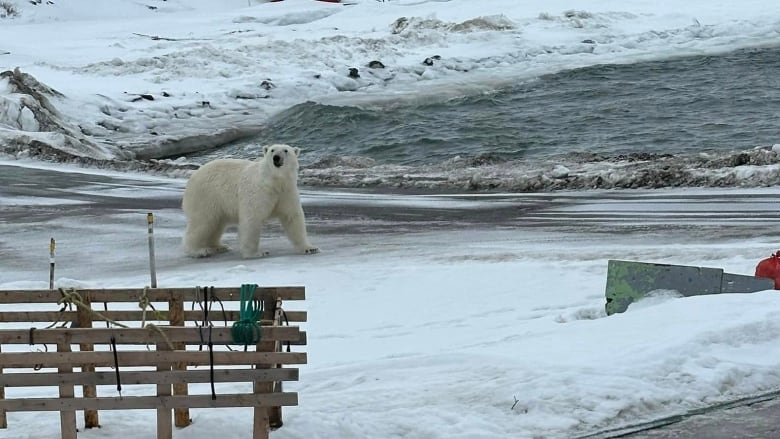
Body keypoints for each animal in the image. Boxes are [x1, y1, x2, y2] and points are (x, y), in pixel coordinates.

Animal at [181, 146, 318, 258]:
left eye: (286, 150)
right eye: (272, 150)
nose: (276, 157)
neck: (273, 182)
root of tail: (193, 177)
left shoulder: (286, 192)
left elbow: (292, 217)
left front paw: (310, 248)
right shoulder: (258, 192)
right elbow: (252, 219)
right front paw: (257, 253)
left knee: (216, 224)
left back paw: (219, 246)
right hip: (207, 196)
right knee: (203, 222)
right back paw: (199, 251)